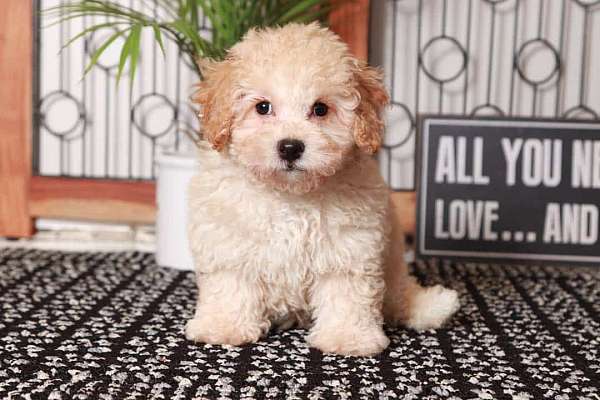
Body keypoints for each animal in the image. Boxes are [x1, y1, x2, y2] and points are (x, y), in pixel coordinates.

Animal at [186, 22, 460, 356]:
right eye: (263, 107)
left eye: (320, 109)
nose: (290, 147)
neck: (291, 195)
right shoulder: (229, 239)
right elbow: (231, 280)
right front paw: (224, 325)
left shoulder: (350, 246)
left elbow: (346, 291)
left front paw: (347, 337)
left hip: (393, 265)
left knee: (398, 298)